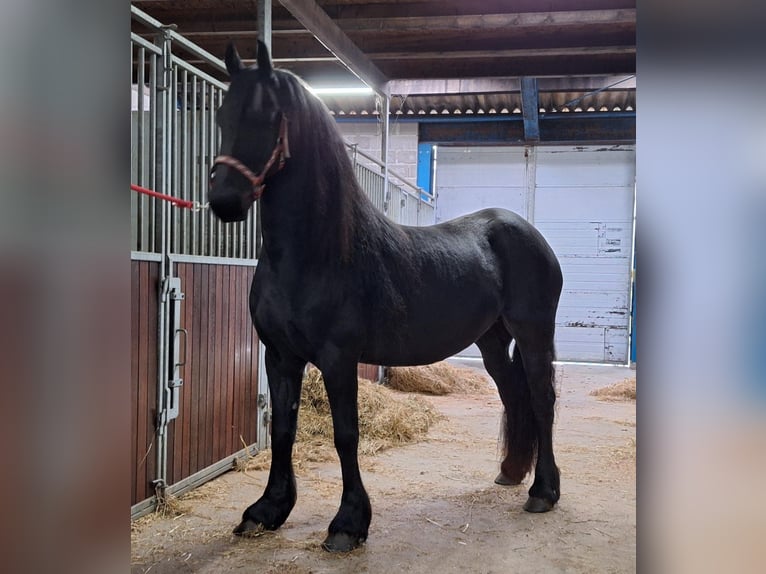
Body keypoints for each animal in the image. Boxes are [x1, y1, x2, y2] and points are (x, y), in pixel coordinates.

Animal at [208, 41, 563, 553]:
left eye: (271, 115)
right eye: (223, 114)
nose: (225, 200)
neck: (314, 254)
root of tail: (525, 231)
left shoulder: (338, 358)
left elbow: (346, 434)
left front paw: (348, 523)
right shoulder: (279, 356)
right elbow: (282, 429)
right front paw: (268, 509)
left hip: (534, 334)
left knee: (541, 399)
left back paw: (543, 491)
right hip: (493, 340)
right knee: (514, 394)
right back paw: (512, 473)